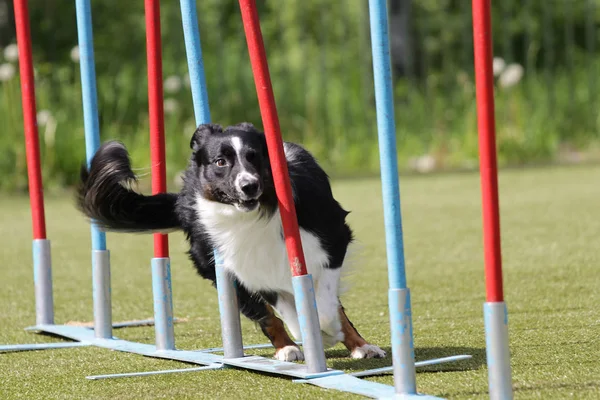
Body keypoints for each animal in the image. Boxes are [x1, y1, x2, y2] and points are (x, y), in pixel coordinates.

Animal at [78, 121, 384, 360]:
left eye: (254, 157)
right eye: (220, 162)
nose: (249, 186)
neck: (262, 212)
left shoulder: (333, 237)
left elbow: (328, 303)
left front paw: (328, 329)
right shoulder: (251, 268)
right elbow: (285, 310)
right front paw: (309, 332)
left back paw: (362, 346)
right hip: (213, 263)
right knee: (266, 314)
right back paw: (287, 348)